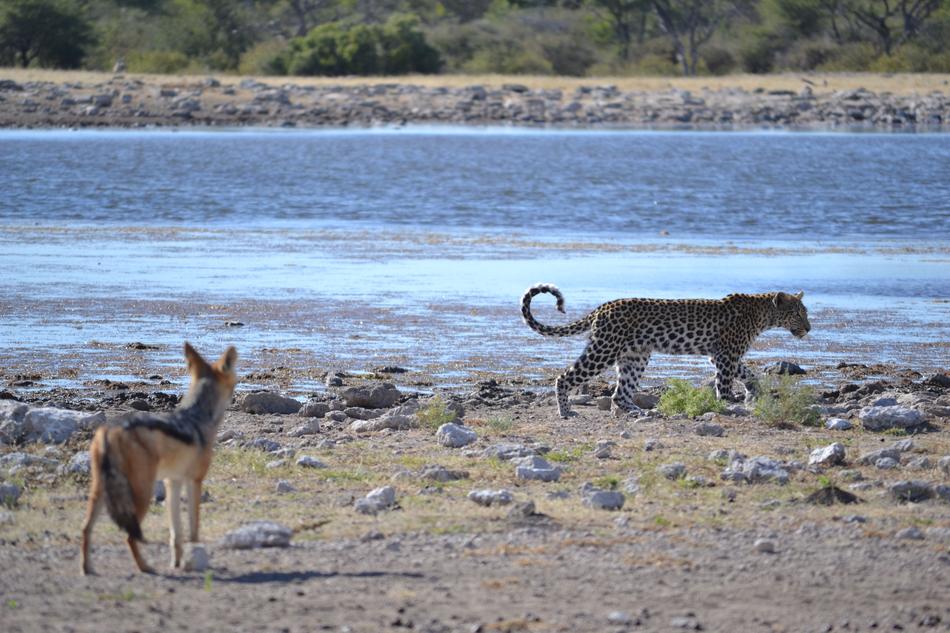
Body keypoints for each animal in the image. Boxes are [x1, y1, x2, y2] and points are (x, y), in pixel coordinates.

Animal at [521, 283, 811, 418]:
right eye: (798, 314)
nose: (809, 328)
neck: (763, 315)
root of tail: (602, 307)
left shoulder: (722, 355)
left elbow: (749, 373)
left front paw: (753, 392)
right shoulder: (726, 355)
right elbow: (725, 382)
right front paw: (728, 403)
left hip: (635, 356)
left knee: (620, 393)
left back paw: (641, 412)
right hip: (604, 349)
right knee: (565, 377)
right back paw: (566, 411)